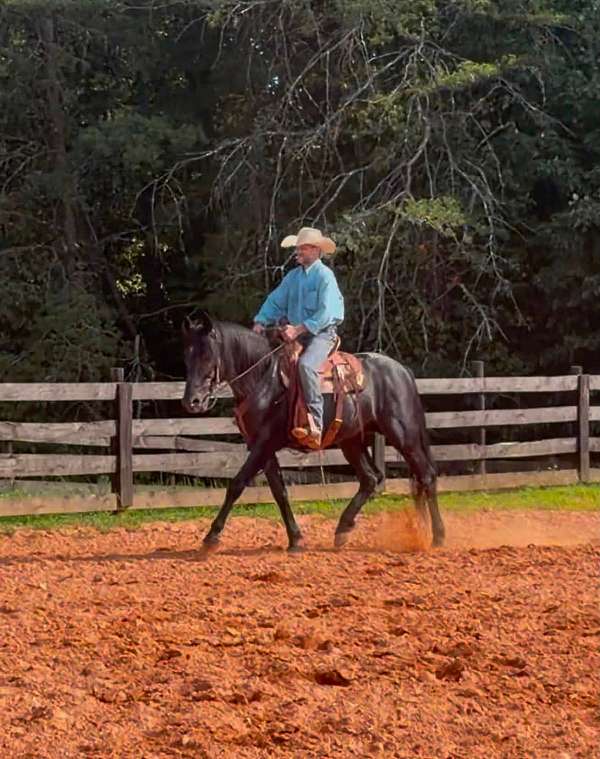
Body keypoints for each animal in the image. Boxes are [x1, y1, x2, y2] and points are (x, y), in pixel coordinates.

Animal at [182, 313, 445, 552]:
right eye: (187, 354)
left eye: (206, 354)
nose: (191, 402)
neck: (264, 380)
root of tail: (402, 371)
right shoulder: (262, 447)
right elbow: (279, 491)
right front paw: (295, 539)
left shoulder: (263, 444)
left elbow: (237, 484)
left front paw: (210, 538)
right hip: (351, 441)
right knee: (371, 479)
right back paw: (343, 530)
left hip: (403, 434)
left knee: (427, 476)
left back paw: (438, 537)